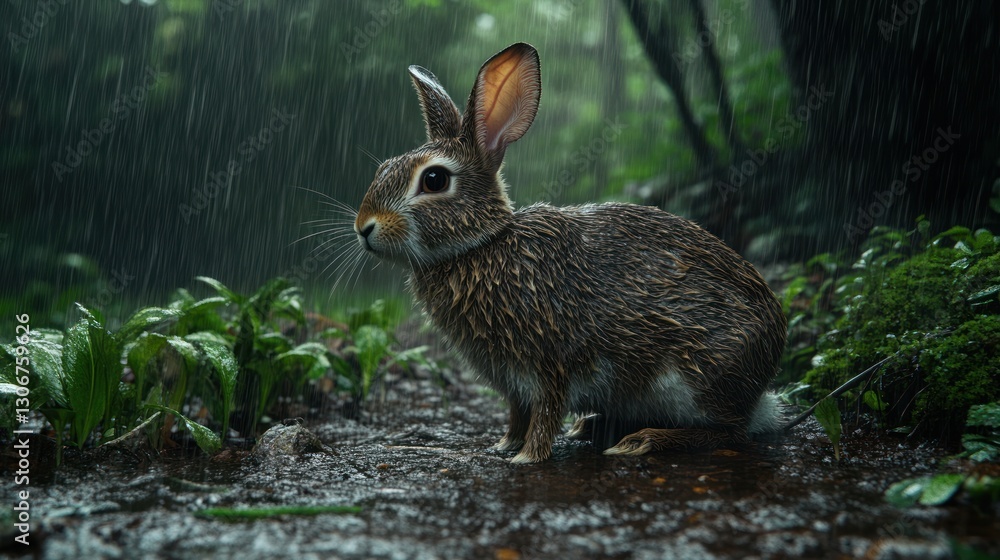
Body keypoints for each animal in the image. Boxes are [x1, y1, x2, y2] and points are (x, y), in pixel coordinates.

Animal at [354, 42, 787, 464]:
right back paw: (595, 428)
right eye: (385, 167)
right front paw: (503, 445)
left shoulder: (549, 361)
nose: (364, 227)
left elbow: (546, 412)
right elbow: (518, 413)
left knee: (729, 432)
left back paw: (641, 440)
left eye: (434, 179)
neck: (482, 245)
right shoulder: (513, 382)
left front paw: (526, 458)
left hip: (693, 376)